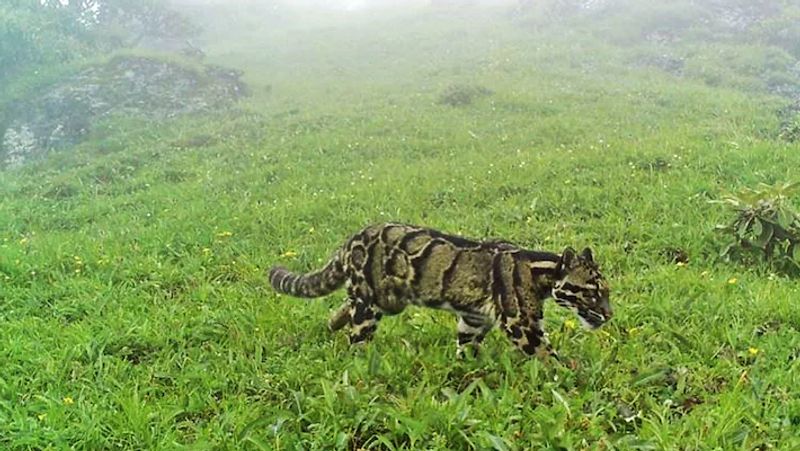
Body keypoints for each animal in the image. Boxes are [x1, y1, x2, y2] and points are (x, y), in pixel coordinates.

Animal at [268, 223, 612, 360]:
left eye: (606, 292)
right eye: (592, 292)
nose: (609, 315)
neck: (541, 271)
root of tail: (352, 238)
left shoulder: (474, 318)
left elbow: (466, 346)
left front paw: (467, 369)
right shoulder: (522, 324)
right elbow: (547, 356)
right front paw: (570, 380)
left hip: (386, 300)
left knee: (345, 304)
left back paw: (332, 322)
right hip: (371, 305)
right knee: (357, 337)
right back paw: (359, 360)